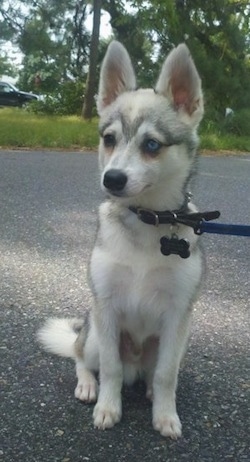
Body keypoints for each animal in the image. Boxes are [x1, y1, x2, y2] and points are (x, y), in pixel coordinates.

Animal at [38, 41, 204, 438]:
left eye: (152, 145)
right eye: (109, 139)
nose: (111, 179)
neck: (147, 222)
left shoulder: (178, 316)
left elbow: (166, 375)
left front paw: (165, 414)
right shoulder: (108, 309)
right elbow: (111, 369)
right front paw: (107, 407)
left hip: (176, 342)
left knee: (152, 373)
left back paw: (148, 391)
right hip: (94, 335)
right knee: (83, 357)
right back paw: (88, 385)